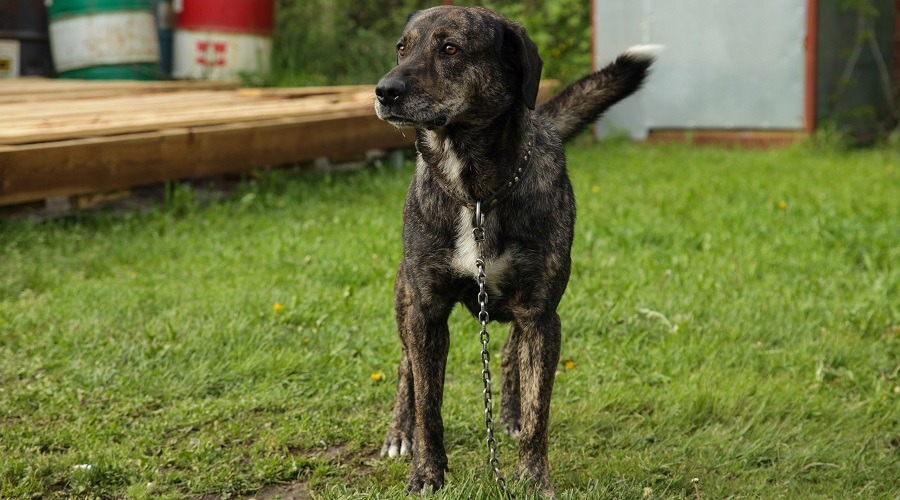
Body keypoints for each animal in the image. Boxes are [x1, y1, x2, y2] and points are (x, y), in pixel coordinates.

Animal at [376, 5, 656, 494]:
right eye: (402, 48)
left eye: (450, 49)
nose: (384, 91)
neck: (475, 193)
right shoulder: (426, 309)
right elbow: (429, 405)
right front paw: (426, 475)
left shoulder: (541, 315)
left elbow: (537, 409)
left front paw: (533, 478)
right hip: (405, 297)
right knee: (406, 367)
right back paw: (399, 433)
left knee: (509, 353)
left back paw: (507, 414)